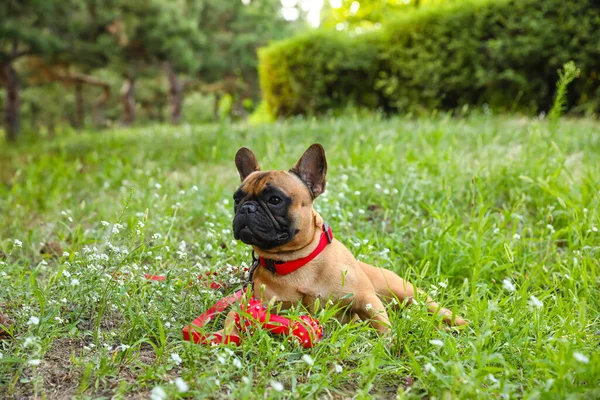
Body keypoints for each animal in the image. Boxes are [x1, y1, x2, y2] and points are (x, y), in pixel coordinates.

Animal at [220, 144, 468, 338]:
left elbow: (382, 324)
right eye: (236, 199)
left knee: (438, 310)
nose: (246, 208)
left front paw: (388, 344)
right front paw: (224, 338)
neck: (295, 261)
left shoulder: (365, 299)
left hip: (410, 294)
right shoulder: (253, 304)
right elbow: (232, 318)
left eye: (275, 199)